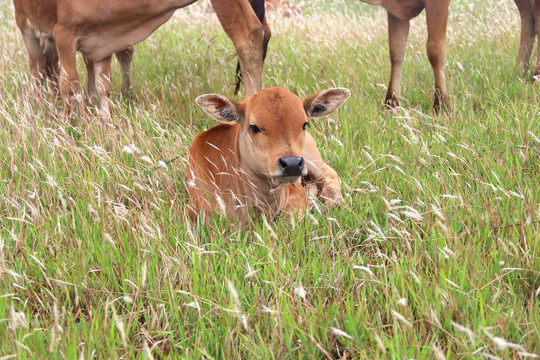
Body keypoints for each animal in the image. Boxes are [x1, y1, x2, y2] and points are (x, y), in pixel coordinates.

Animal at [13, 0, 270, 122]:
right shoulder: (64, 35)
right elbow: (70, 83)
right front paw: (69, 123)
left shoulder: (101, 44)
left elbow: (103, 85)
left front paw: (105, 121)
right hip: (26, 26)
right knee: (38, 67)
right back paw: (39, 105)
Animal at [188, 87, 352, 222]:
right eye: (254, 127)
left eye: (305, 124)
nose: (292, 164)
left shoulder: (295, 192)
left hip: (312, 160)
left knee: (330, 174)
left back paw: (332, 199)